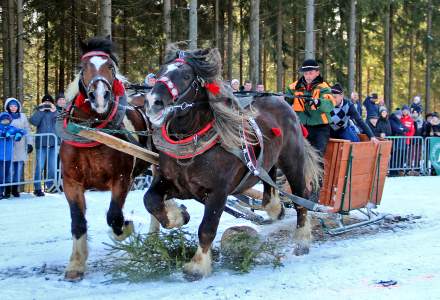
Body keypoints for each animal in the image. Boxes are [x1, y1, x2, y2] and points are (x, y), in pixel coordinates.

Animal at [60, 38, 153, 282]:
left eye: (110, 67)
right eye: (83, 67)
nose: (100, 96)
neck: (93, 132)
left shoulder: (121, 179)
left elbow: (114, 217)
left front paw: (126, 227)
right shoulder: (71, 181)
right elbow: (78, 221)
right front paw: (76, 264)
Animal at [146, 46, 322, 278]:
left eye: (186, 76)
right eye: (160, 71)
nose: (153, 102)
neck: (192, 142)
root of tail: (281, 100)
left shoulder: (218, 192)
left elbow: (207, 228)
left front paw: (198, 266)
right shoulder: (171, 182)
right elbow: (150, 200)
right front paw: (178, 215)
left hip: (292, 160)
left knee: (301, 199)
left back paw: (302, 241)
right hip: (265, 163)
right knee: (269, 185)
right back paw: (275, 208)